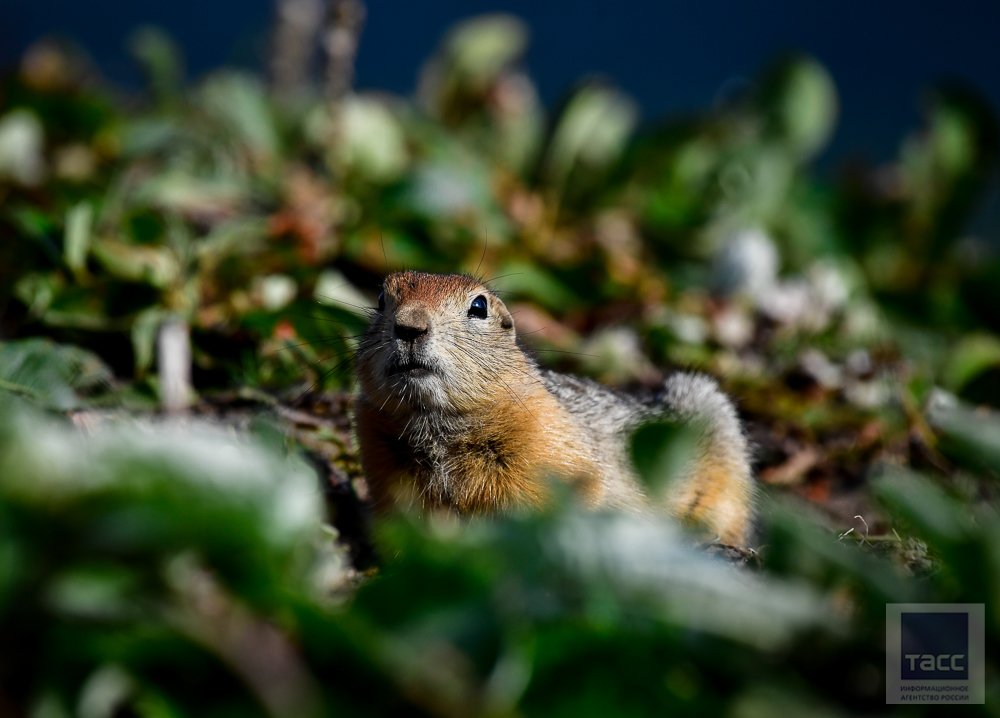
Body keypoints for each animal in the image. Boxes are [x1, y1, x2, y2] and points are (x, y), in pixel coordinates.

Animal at [356, 270, 752, 544]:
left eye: (479, 306)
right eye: (381, 298)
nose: (409, 327)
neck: (436, 425)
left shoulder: (545, 446)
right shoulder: (385, 467)